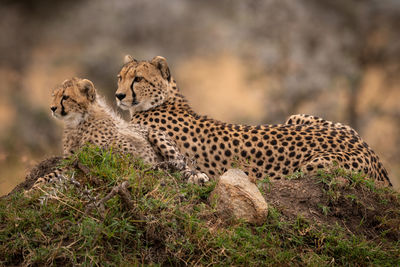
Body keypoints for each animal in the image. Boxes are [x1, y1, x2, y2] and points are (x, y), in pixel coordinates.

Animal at [37, 77, 208, 186]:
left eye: (65, 97)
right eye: (54, 96)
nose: (52, 108)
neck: (77, 123)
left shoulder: (102, 157)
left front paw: (36, 186)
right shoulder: (74, 159)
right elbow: (56, 171)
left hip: (156, 135)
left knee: (182, 165)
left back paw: (196, 177)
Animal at [114, 55, 392, 187]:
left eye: (138, 79)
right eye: (120, 77)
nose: (118, 95)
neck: (164, 100)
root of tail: (371, 152)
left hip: (318, 165)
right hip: (297, 117)